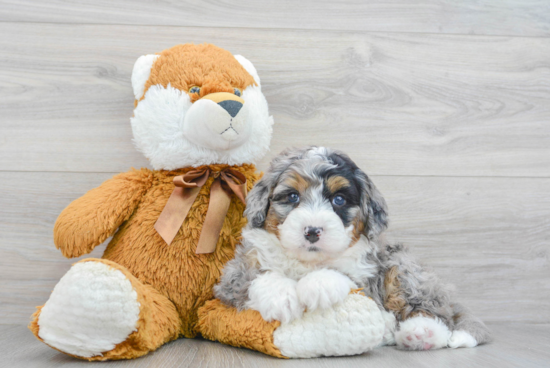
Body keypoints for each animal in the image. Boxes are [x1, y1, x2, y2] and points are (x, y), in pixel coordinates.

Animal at [215, 147, 492, 350]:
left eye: (339, 200)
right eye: (293, 196)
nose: (312, 231)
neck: (307, 262)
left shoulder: (367, 279)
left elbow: (343, 275)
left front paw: (318, 285)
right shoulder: (233, 277)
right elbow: (257, 277)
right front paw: (281, 297)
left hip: (403, 266)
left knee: (433, 310)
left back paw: (422, 333)